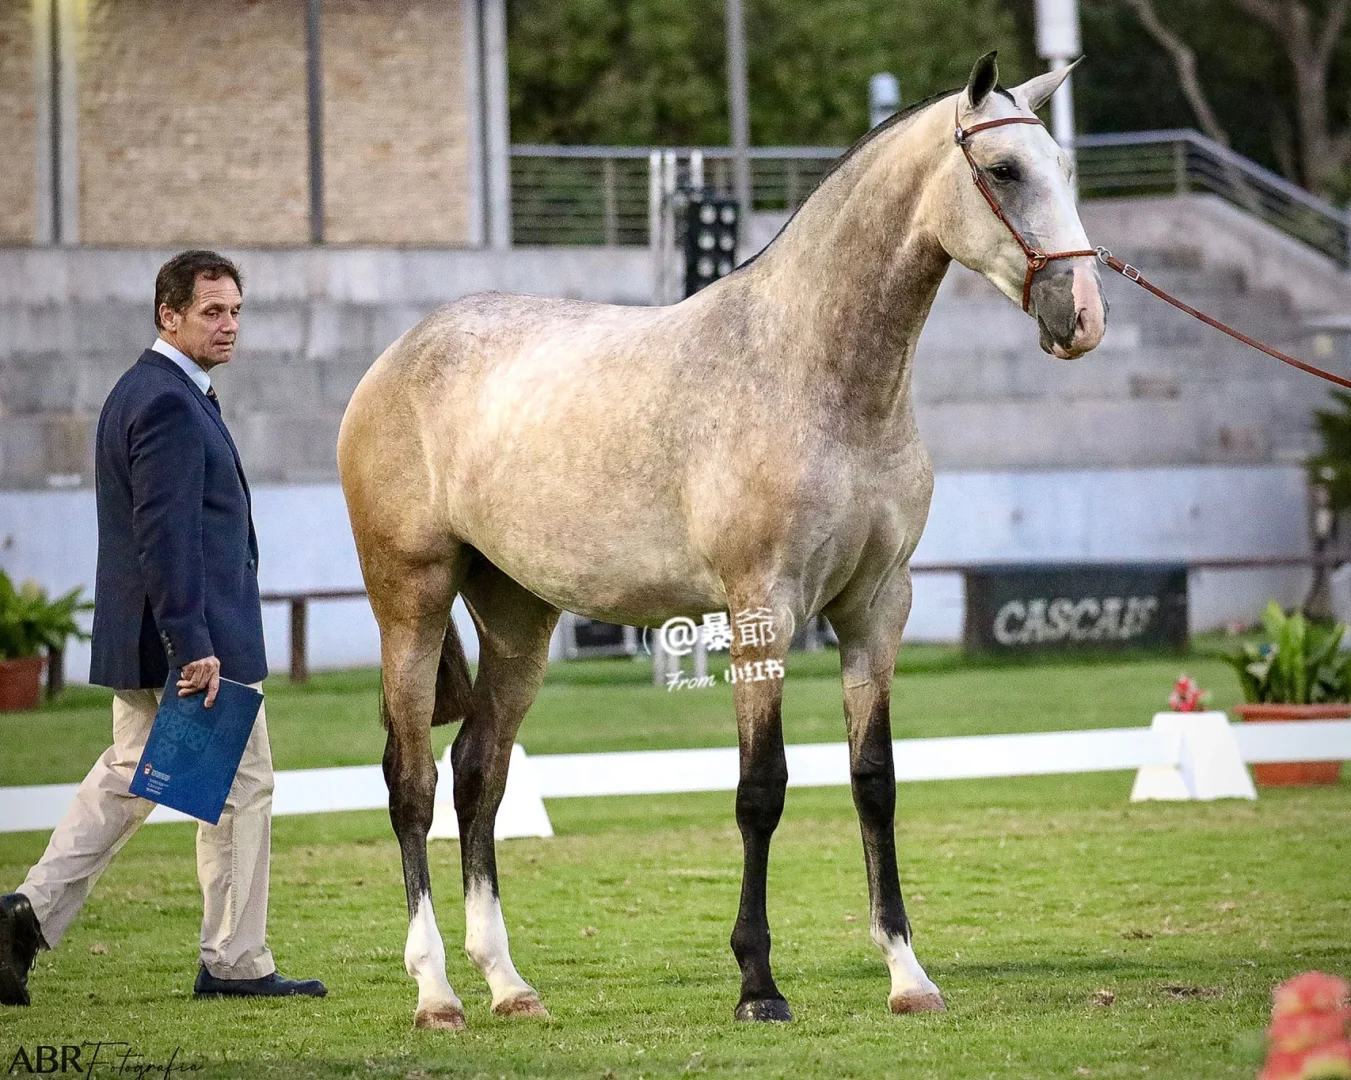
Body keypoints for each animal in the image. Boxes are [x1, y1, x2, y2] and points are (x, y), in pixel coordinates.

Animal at [337, 50, 1107, 1032]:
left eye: (1065, 171)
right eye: (1004, 170)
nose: (1082, 316)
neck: (811, 372)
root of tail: (398, 355)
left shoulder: (876, 608)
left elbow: (874, 781)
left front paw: (907, 974)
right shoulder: (760, 610)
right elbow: (760, 789)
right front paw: (757, 985)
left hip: (517, 615)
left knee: (479, 774)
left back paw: (507, 984)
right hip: (412, 600)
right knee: (411, 783)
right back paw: (436, 992)